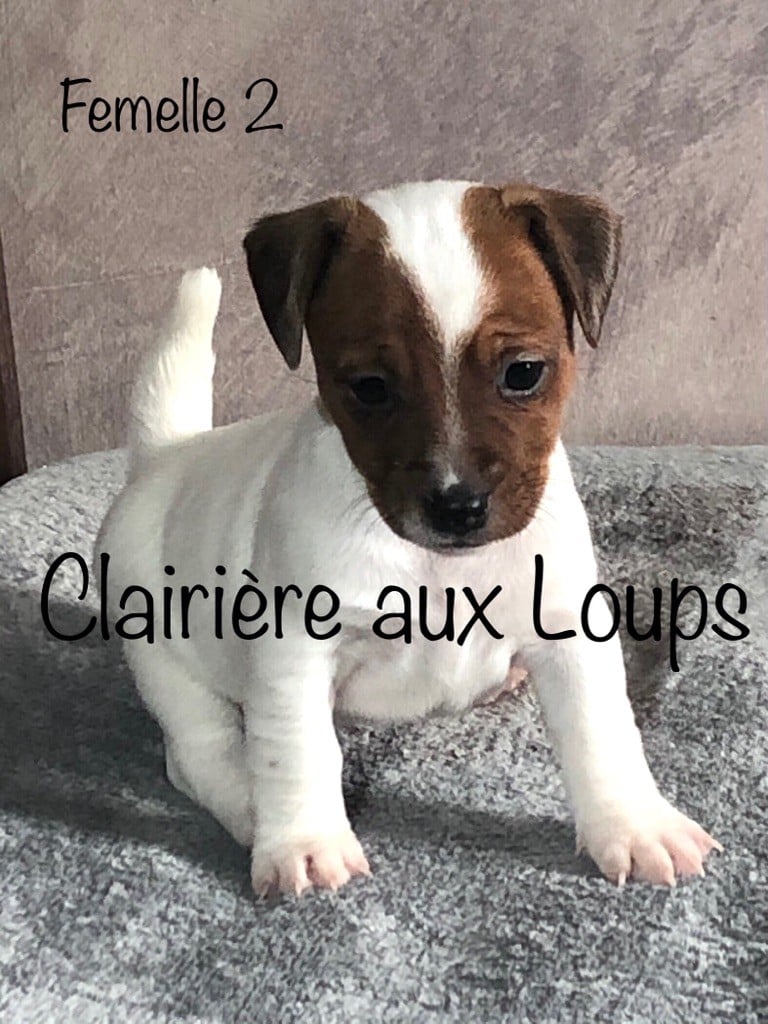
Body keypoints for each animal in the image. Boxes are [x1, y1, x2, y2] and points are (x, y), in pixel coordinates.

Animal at [96, 179, 720, 895]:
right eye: (369, 388)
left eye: (524, 372)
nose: (458, 505)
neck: (442, 566)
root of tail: (166, 454)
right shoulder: (294, 649)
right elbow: (296, 750)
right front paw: (303, 841)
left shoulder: (569, 627)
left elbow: (601, 732)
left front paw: (637, 826)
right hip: (166, 662)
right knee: (202, 749)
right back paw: (251, 810)